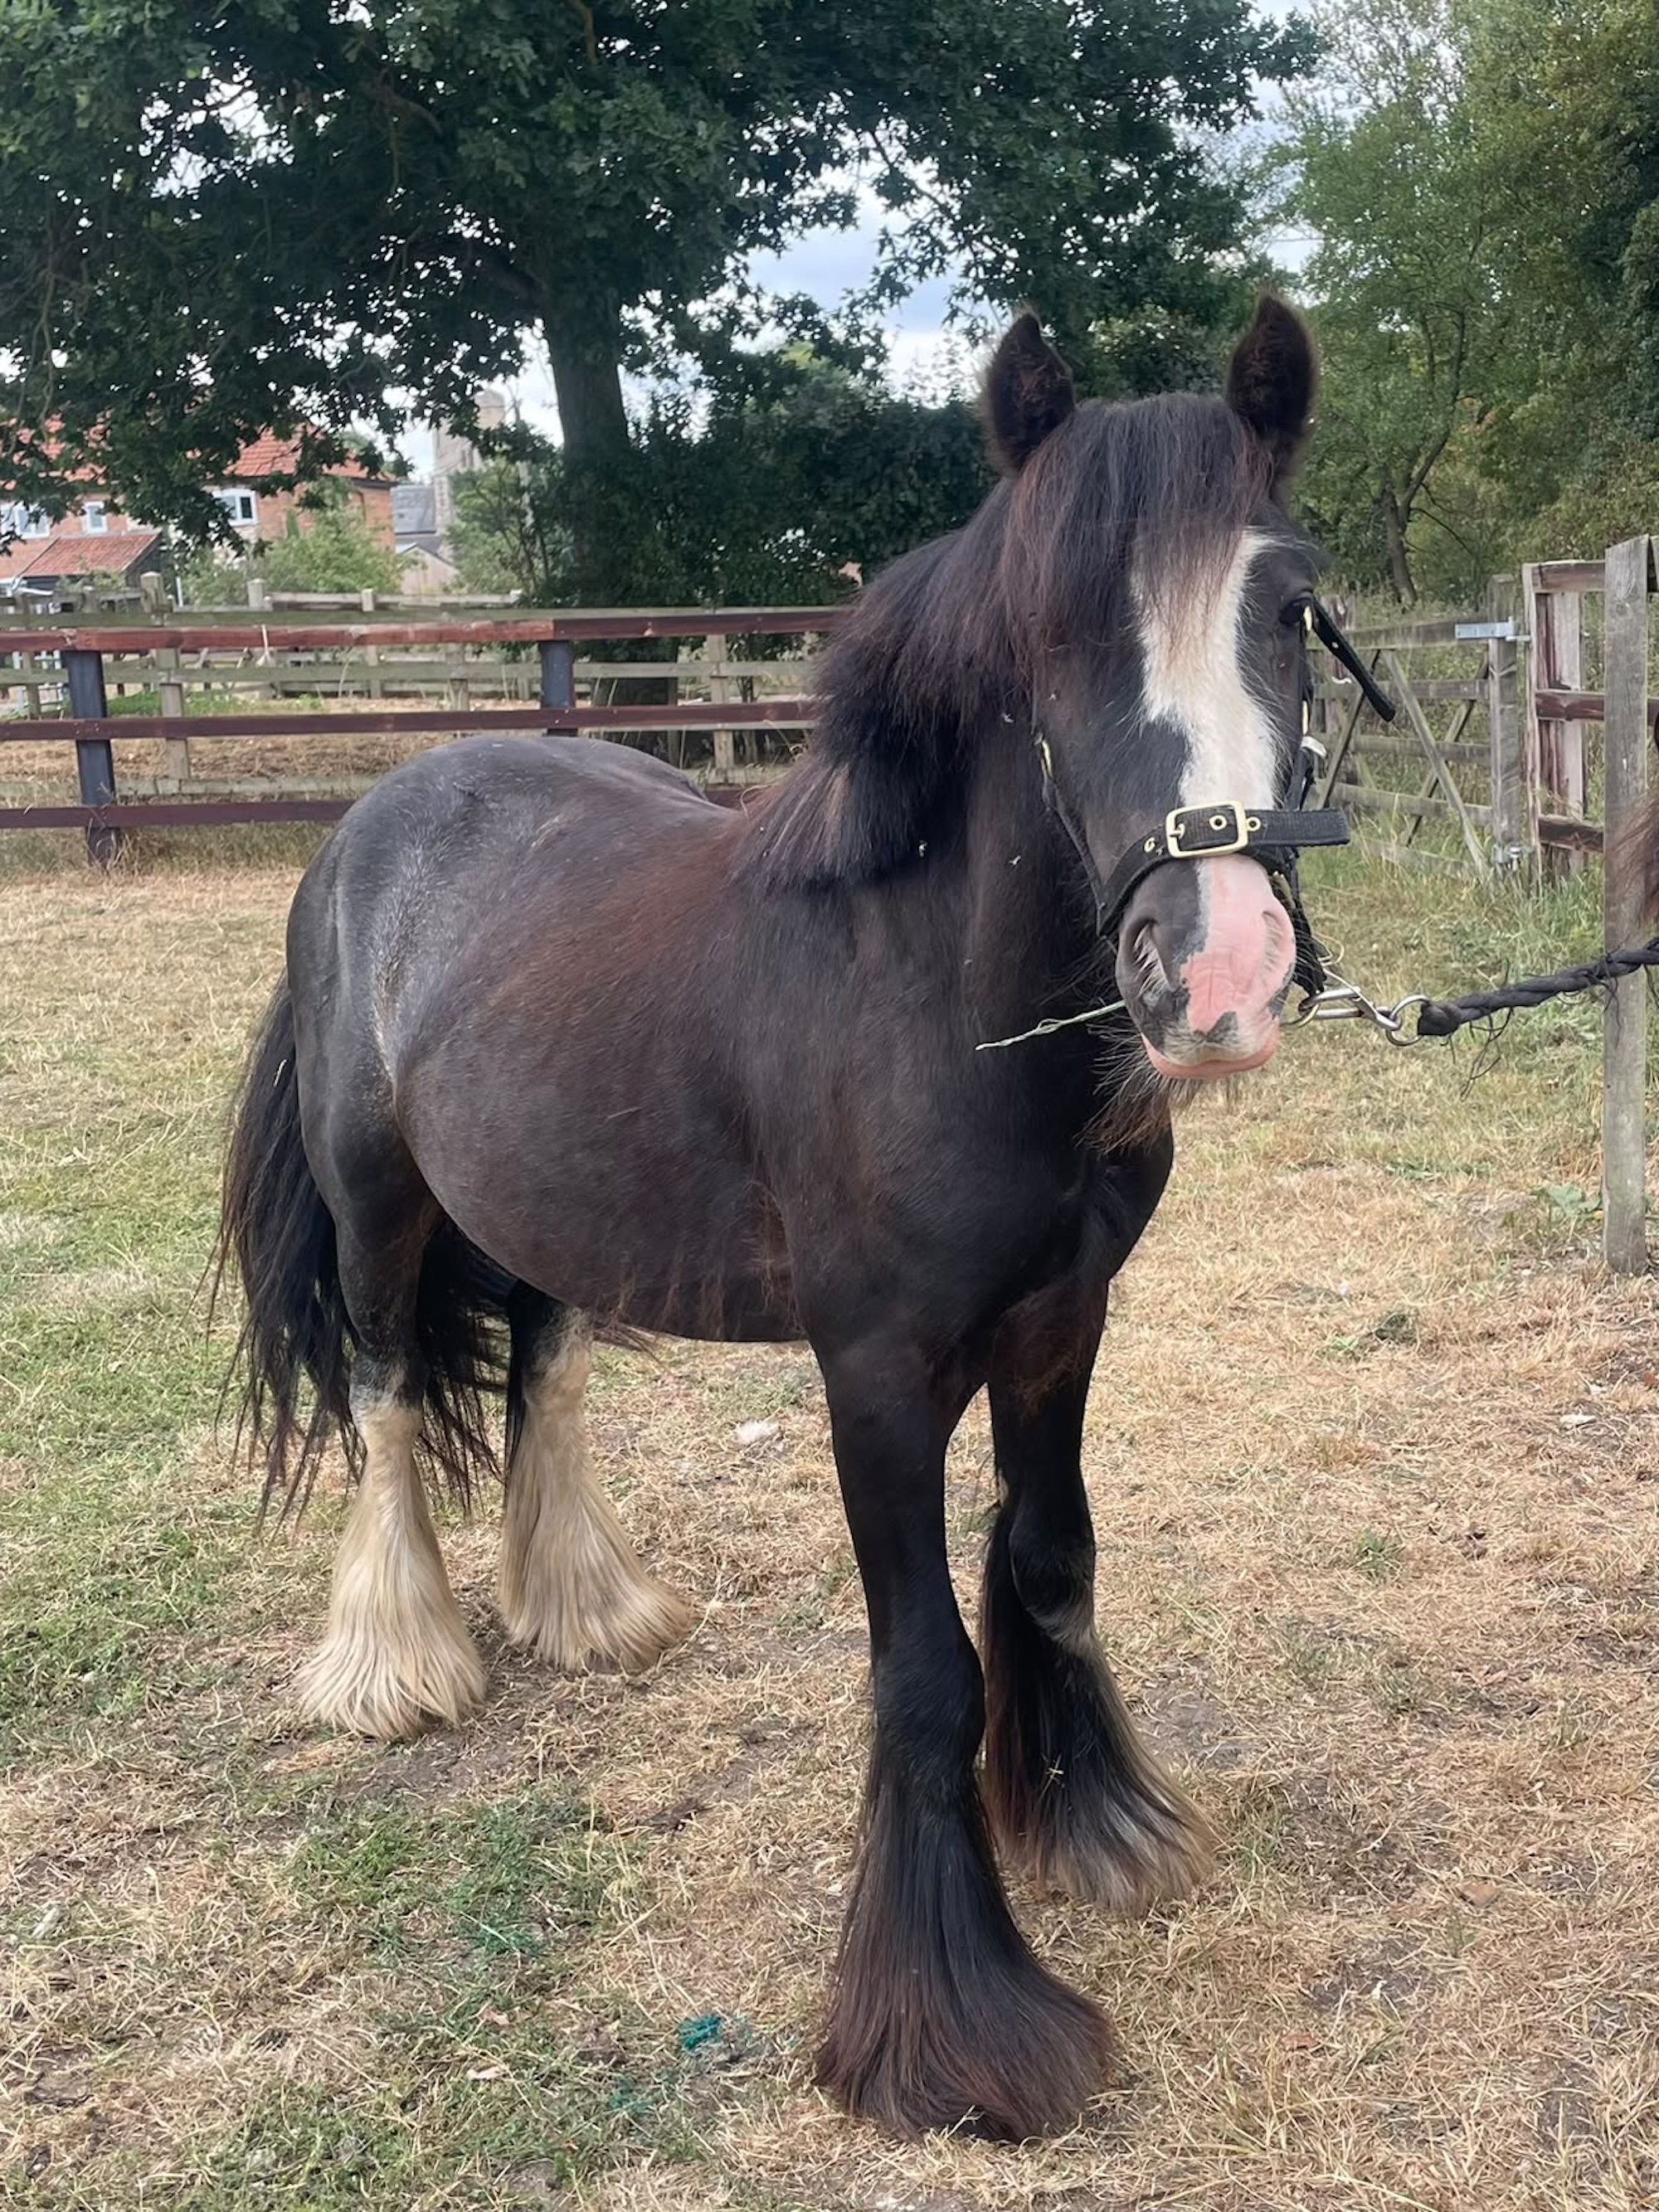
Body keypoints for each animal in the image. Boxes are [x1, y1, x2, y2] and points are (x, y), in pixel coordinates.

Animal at [219, 294, 1334, 2142]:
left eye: (1289, 604)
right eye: (1046, 634)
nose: (1218, 974)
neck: (928, 998)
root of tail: (376, 816)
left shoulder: (1062, 1327)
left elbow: (1049, 1564)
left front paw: (1097, 1824)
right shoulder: (874, 1375)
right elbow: (925, 1671)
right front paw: (953, 2034)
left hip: (554, 1214)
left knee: (542, 1374)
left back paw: (589, 1608)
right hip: (381, 1212)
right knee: (382, 1398)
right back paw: (401, 1663)